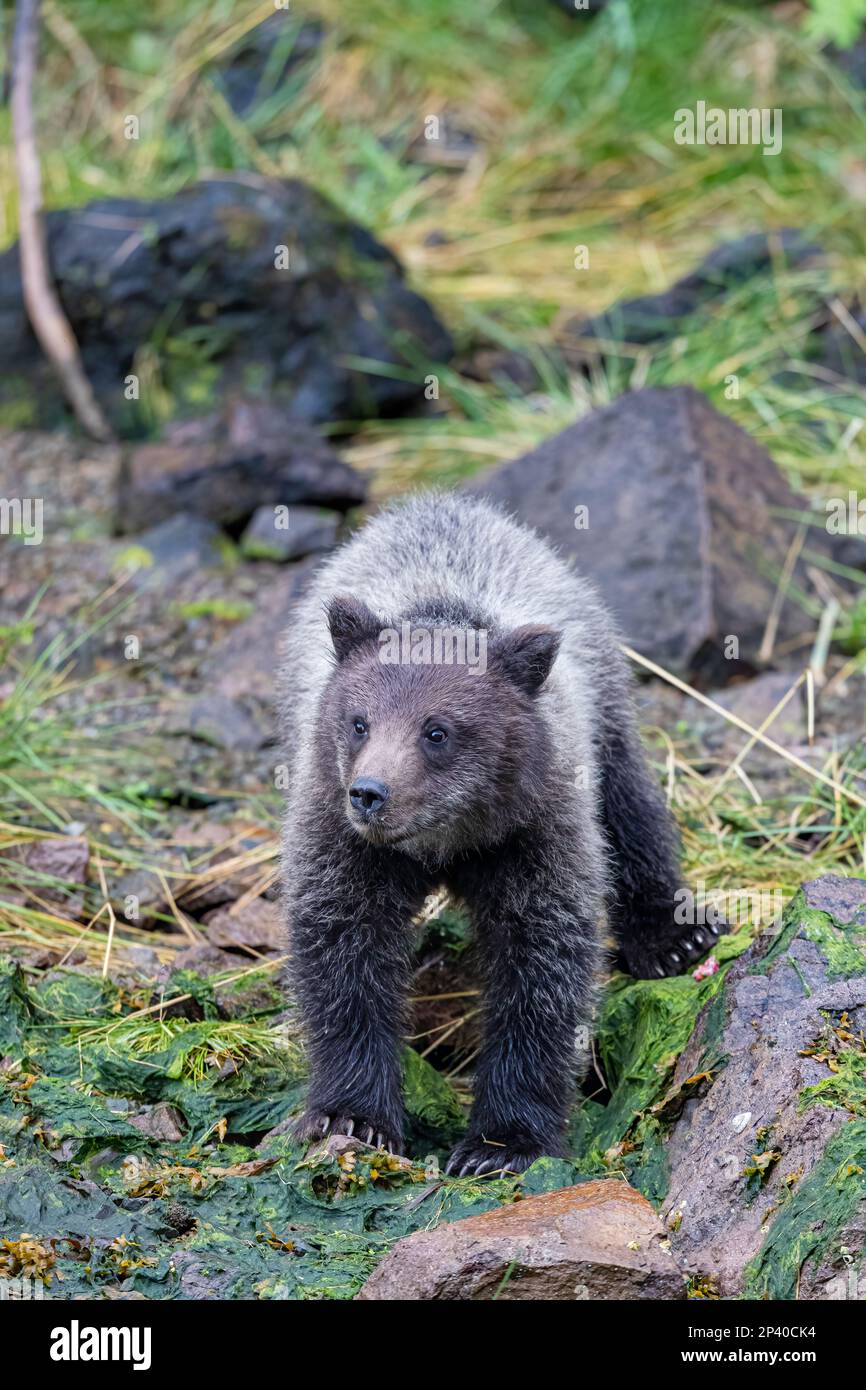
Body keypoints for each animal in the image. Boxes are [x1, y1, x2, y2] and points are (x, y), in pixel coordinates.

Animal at [278, 490, 718, 1176]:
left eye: (437, 730)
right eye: (358, 721)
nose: (371, 793)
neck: (446, 839)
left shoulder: (533, 833)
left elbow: (539, 967)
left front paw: (502, 1142)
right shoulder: (339, 834)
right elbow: (343, 955)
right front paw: (353, 1114)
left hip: (602, 706)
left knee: (629, 807)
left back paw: (673, 936)